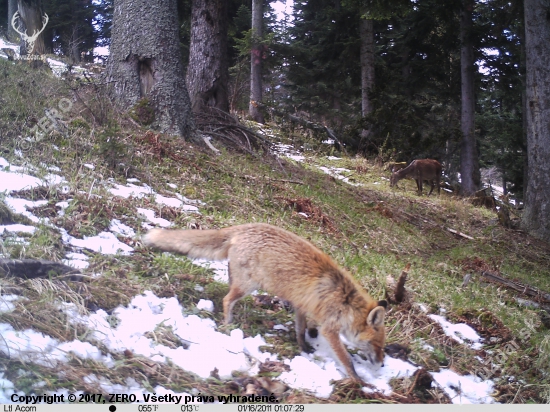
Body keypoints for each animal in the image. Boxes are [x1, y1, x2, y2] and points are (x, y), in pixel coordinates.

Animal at [144, 224, 390, 382]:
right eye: (378, 345)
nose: (382, 364)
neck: (345, 301)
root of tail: (242, 226)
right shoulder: (329, 328)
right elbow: (346, 359)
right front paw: (358, 382)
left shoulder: (301, 306)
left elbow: (300, 330)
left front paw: (303, 348)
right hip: (247, 286)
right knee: (226, 299)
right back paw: (227, 325)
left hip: (238, 280)